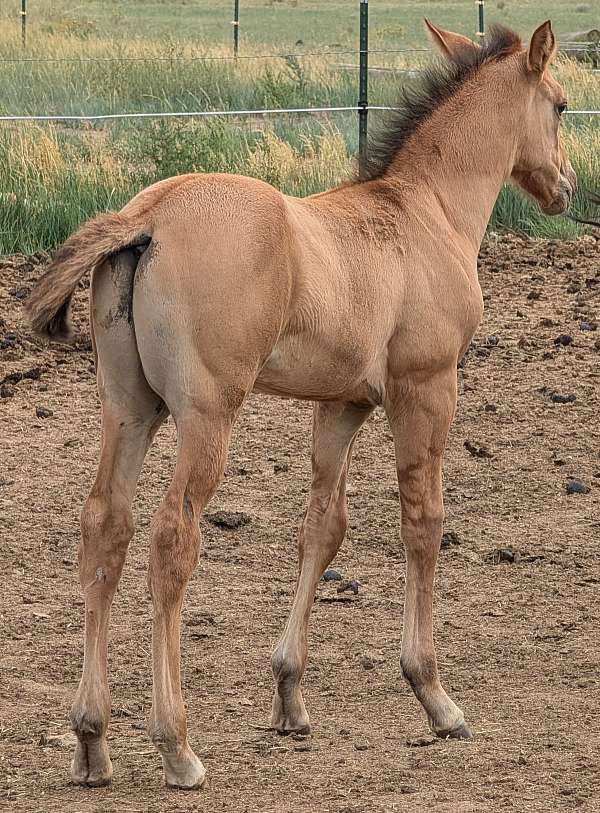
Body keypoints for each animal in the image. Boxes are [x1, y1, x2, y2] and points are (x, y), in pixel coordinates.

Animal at [26, 21, 575, 789]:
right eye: (560, 104)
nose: (567, 187)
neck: (426, 211)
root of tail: (146, 216)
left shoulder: (341, 405)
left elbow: (322, 529)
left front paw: (289, 694)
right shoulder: (426, 387)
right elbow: (423, 523)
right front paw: (436, 696)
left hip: (129, 410)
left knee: (105, 528)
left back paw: (92, 740)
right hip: (208, 416)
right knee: (171, 540)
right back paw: (177, 746)